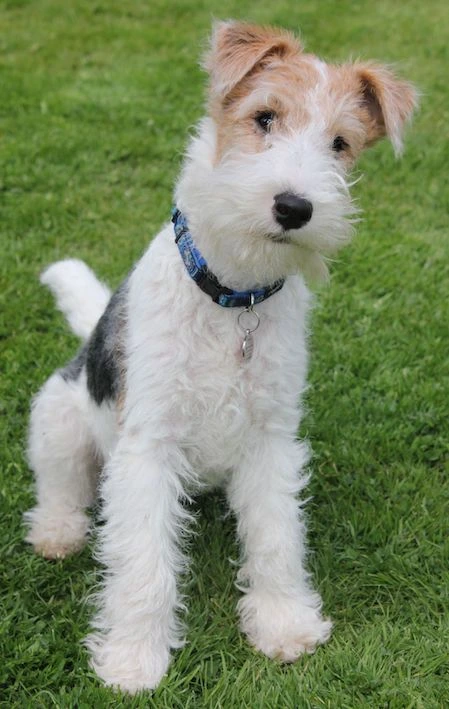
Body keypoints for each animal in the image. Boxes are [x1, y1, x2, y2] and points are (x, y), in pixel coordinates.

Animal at [24, 20, 416, 692]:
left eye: (340, 143)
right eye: (264, 117)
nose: (294, 208)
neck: (235, 297)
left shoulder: (270, 437)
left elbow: (276, 540)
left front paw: (284, 626)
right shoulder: (148, 446)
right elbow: (144, 564)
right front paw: (133, 660)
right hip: (60, 416)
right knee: (60, 486)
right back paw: (57, 533)